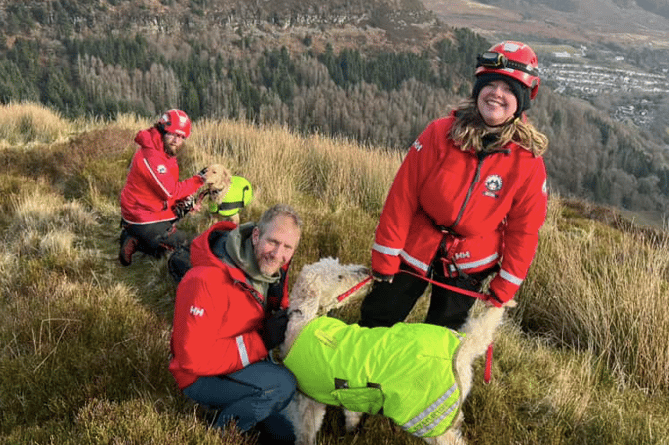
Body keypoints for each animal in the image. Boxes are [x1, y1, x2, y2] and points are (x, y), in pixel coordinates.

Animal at [280, 256, 516, 444]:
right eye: (339, 276)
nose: (366, 271)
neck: (305, 321)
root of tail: (465, 347)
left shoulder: (308, 400)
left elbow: (305, 432)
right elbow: (351, 414)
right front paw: (351, 430)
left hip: (428, 416)